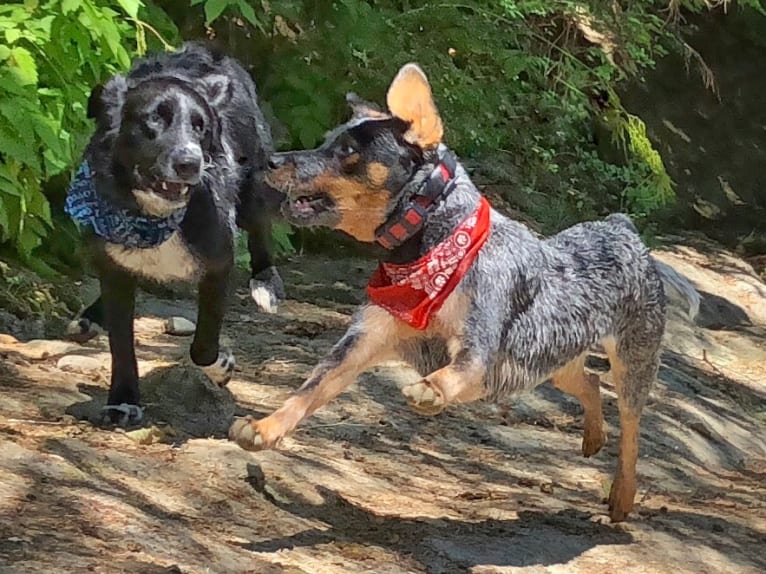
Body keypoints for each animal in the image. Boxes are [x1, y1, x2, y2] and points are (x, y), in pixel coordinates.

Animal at [65, 42, 284, 426]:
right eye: (153, 119)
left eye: (201, 128)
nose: (190, 163)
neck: (153, 217)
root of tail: (205, 49)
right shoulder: (113, 263)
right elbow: (122, 344)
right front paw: (123, 401)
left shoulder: (218, 265)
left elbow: (203, 346)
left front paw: (220, 366)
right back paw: (90, 317)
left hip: (253, 183)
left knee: (260, 230)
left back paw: (266, 283)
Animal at [228, 62, 704, 520]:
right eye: (326, 139)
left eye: (346, 151)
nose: (271, 160)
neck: (431, 250)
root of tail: (622, 229)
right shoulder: (363, 341)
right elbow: (308, 390)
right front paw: (265, 428)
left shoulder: (479, 351)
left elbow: (453, 373)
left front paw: (430, 390)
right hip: (554, 359)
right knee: (588, 381)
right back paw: (592, 436)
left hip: (634, 358)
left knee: (631, 426)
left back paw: (622, 495)